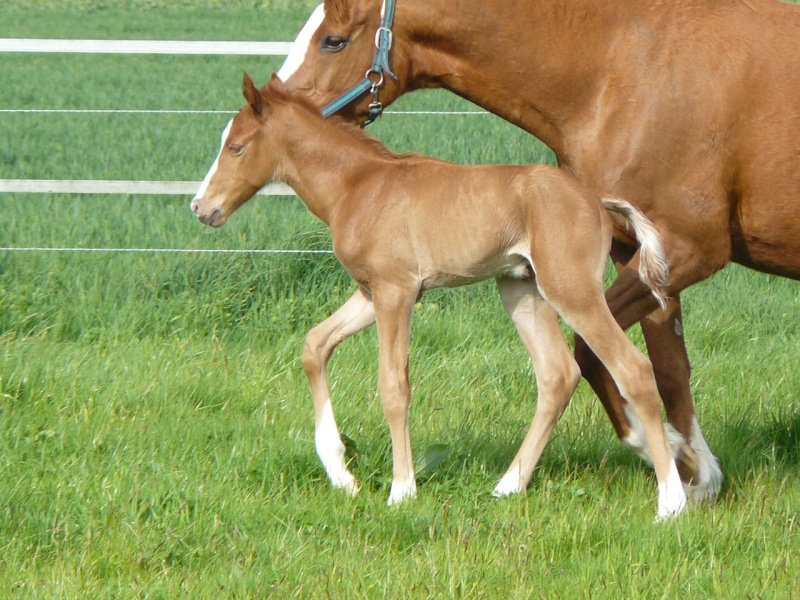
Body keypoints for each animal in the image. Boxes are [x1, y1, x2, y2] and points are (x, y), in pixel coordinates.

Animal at [189, 74, 688, 516]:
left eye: (236, 147)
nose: (200, 208)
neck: (358, 184)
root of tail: (597, 199)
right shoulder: (371, 292)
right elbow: (315, 345)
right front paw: (341, 474)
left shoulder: (396, 291)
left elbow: (393, 386)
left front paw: (401, 490)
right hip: (521, 289)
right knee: (557, 374)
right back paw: (509, 485)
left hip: (572, 291)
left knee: (632, 369)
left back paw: (671, 500)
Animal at [276, 0, 800, 502]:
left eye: (333, 40)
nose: (279, 104)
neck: (621, 66)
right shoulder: (640, 255)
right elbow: (669, 366)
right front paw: (696, 468)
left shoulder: (687, 252)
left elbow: (594, 357)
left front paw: (676, 460)